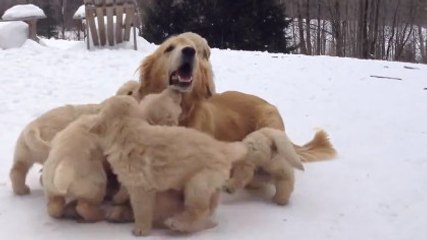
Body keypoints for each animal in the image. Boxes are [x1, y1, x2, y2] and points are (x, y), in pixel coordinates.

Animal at [9, 80, 142, 195]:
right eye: (130, 91)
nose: (140, 89)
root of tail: (33, 127)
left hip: (24, 150)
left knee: (18, 168)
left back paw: (21, 189)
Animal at [92, 96, 249, 236]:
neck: (127, 130)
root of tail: (224, 149)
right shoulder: (132, 177)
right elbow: (124, 188)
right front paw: (117, 198)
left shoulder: (141, 187)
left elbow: (142, 209)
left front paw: (141, 229)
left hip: (198, 182)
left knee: (200, 211)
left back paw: (178, 223)